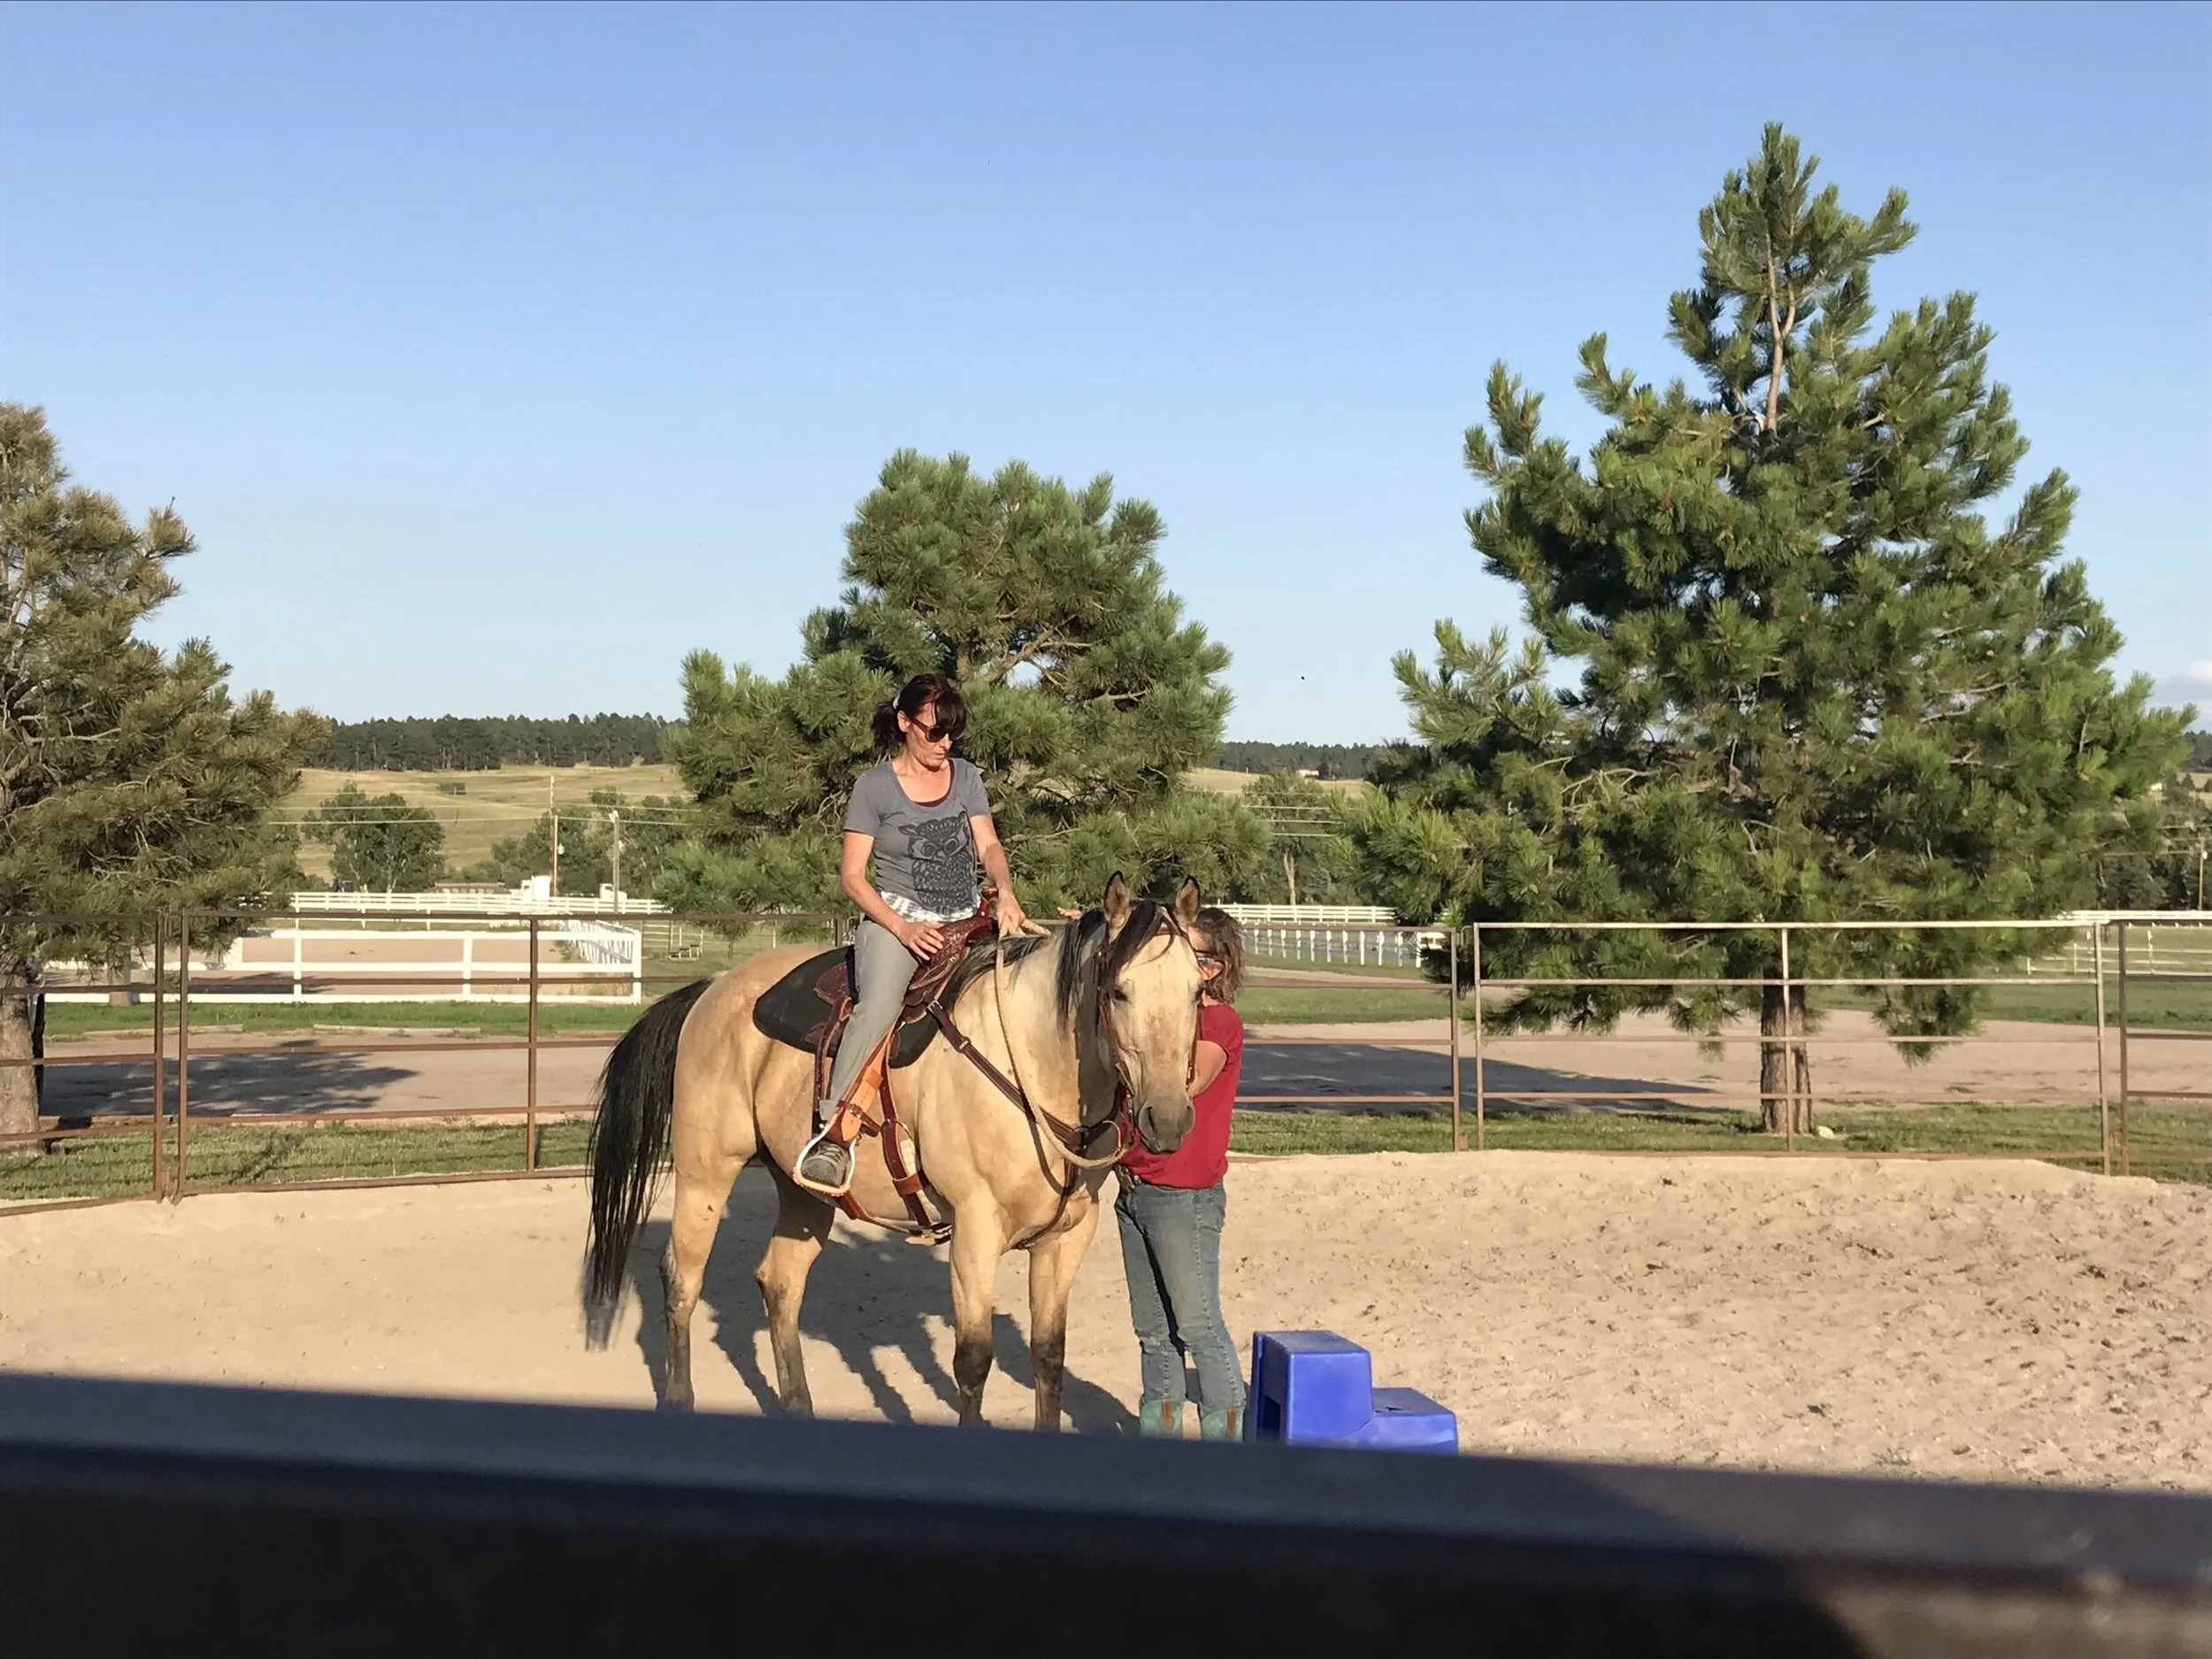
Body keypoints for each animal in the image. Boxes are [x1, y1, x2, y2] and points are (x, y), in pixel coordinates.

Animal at [581, 874, 1204, 1428]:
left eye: (1198, 991)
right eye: (1119, 991)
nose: (1168, 1120)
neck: (1032, 1064)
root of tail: (713, 987)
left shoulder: (1066, 1238)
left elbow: (1049, 1358)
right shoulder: (976, 1232)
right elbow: (973, 1362)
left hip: (803, 1192)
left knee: (780, 1283)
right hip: (706, 1172)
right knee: (681, 1281)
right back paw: (680, 1397)